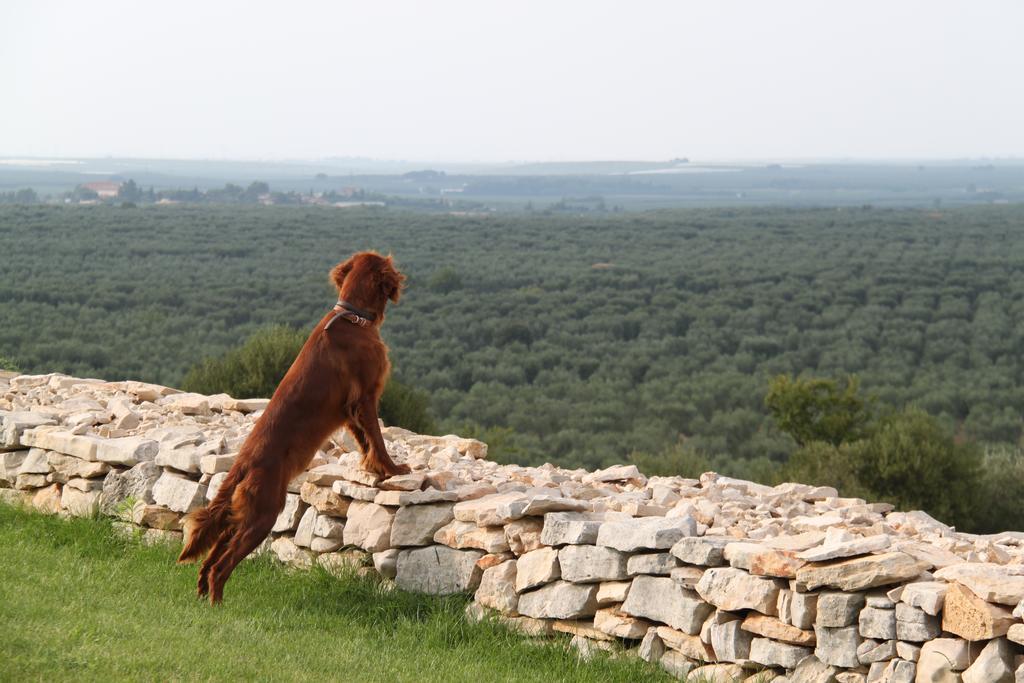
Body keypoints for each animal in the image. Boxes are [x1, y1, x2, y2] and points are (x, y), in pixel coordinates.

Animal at [178, 252, 409, 602]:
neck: (353, 317)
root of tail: (242, 466)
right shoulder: (366, 397)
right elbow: (378, 441)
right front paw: (394, 470)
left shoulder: (349, 410)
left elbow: (365, 443)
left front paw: (373, 470)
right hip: (262, 515)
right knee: (220, 566)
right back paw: (218, 605)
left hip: (240, 517)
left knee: (209, 562)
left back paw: (203, 599)